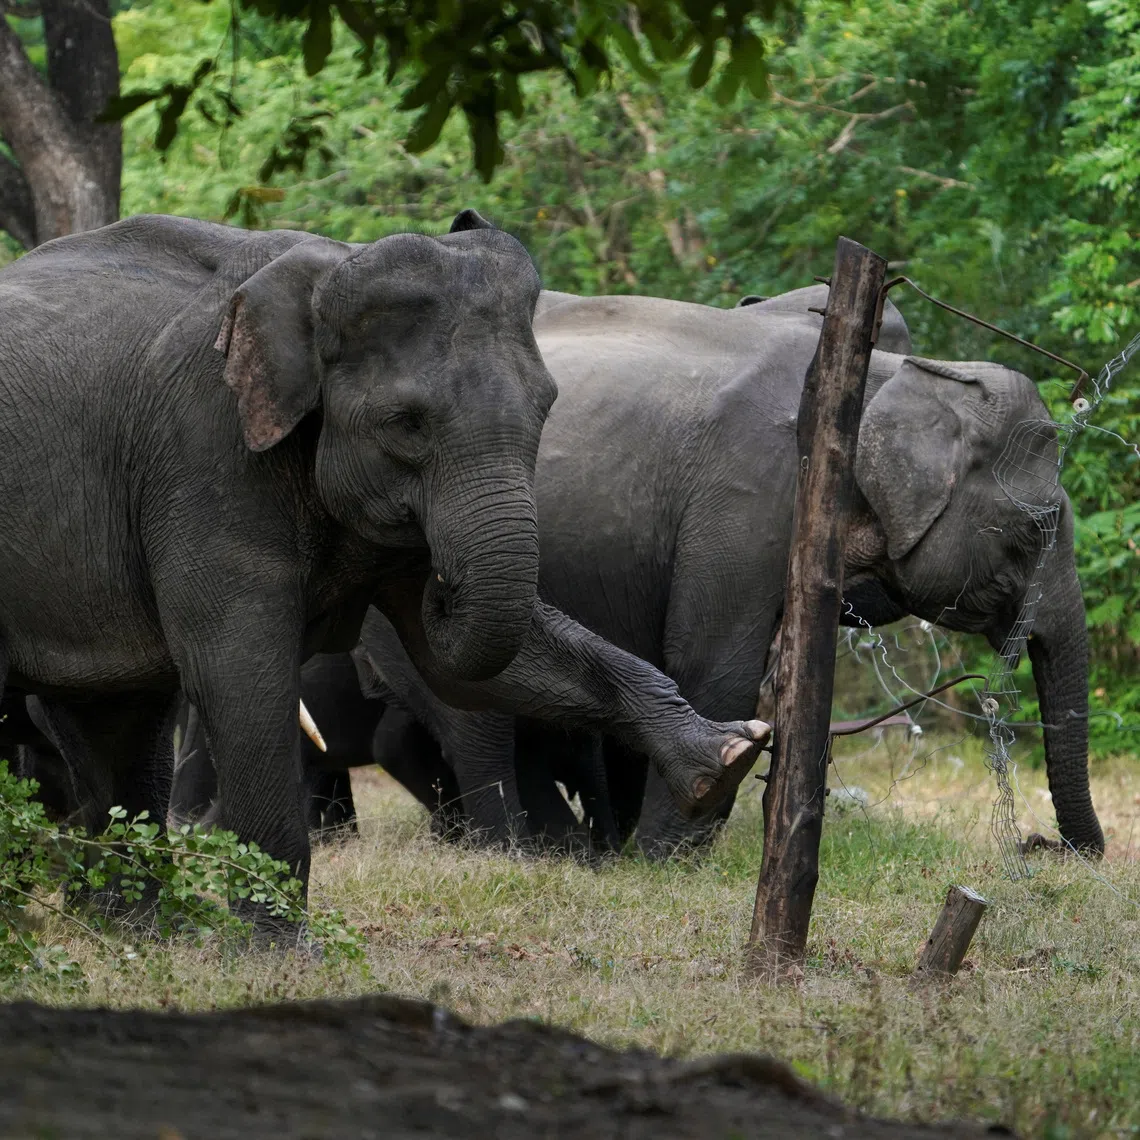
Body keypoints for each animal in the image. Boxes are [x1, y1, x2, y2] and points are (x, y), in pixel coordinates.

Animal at [0, 211, 770, 934]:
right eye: (406, 424)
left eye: (547, 406)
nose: (444, 588)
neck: (323, 273)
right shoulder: (201, 452)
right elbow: (239, 671)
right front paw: (279, 953)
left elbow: (490, 663)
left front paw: (730, 750)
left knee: (112, 722)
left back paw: (135, 931)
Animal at [352, 282, 1103, 859]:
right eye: (1038, 527)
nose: (1045, 846)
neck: (896, 372)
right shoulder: (747, 495)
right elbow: (714, 663)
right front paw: (665, 859)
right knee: (473, 712)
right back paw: (526, 851)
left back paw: (565, 851)